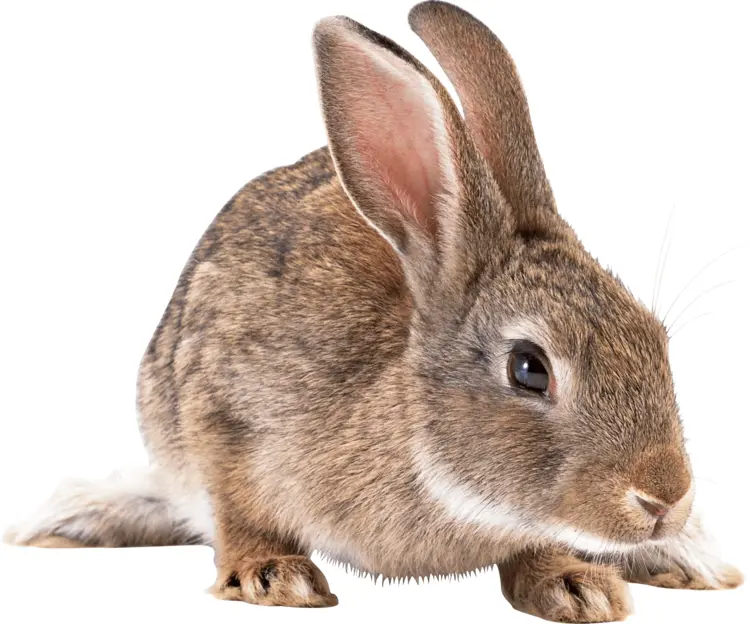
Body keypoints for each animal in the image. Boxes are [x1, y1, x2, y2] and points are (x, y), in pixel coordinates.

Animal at [4, 1, 743, 621]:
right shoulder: (221, 414)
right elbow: (239, 512)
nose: (665, 498)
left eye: (656, 338)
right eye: (530, 368)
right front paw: (273, 576)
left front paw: (577, 585)